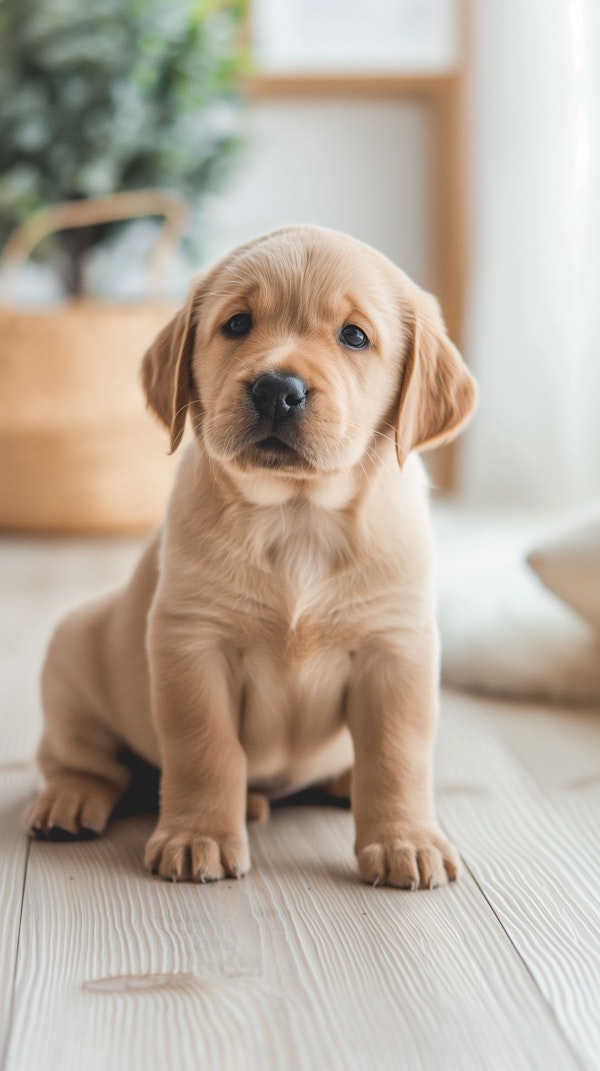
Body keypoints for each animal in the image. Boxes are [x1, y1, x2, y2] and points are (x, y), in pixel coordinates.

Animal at [26, 223, 477, 886]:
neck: (298, 515)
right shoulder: (192, 641)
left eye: (354, 335)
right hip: (72, 653)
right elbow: (204, 746)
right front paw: (197, 836)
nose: (277, 388)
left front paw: (405, 841)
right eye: (237, 324)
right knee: (81, 759)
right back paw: (71, 799)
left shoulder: (396, 648)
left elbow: (396, 754)